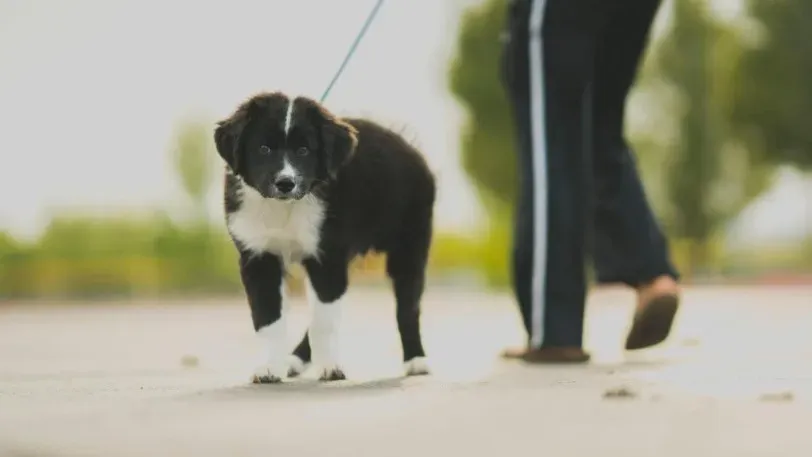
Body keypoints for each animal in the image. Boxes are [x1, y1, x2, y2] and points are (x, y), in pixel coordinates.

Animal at [213, 91, 434, 382]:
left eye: (304, 150)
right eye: (263, 149)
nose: (286, 183)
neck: (285, 208)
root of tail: (408, 145)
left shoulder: (327, 258)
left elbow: (323, 323)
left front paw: (329, 367)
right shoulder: (258, 257)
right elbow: (268, 319)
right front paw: (271, 367)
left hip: (409, 247)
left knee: (408, 307)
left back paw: (416, 360)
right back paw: (294, 360)